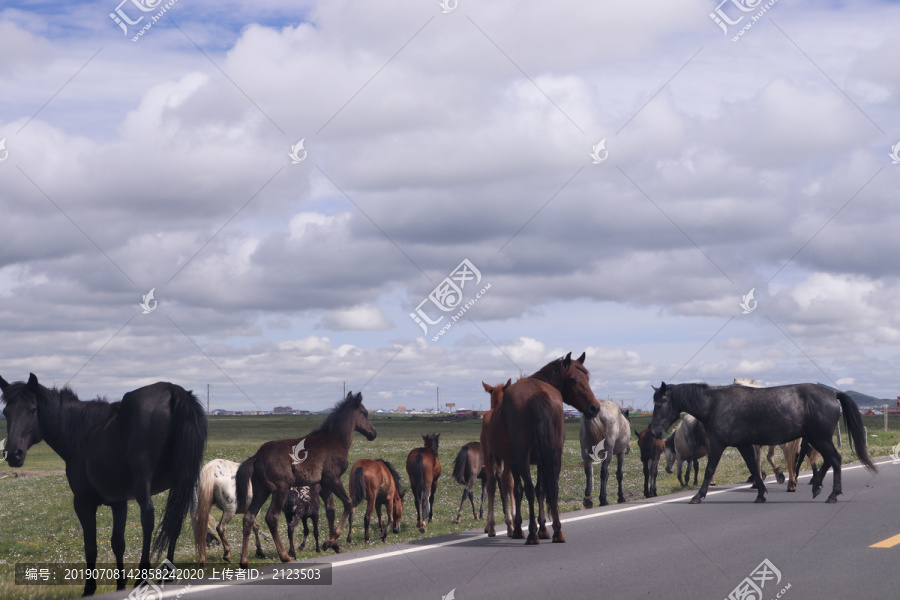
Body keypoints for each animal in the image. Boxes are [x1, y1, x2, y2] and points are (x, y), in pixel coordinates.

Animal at [1, 374, 206, 596]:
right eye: (6, 412)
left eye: (32, 410)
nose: (13, 454)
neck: (82, 434)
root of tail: (172, 390)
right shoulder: (119, 502)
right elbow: (118, 543)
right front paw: (120, 585)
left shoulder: (83, 503)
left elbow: (91, 546)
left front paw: (89, 588)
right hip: (183, 481)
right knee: (175, 519)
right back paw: (167, 574)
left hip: (144, 483)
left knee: (148, 518)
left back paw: (142, 577)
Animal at [235, 391, 376, 567]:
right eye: (365, 413)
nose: (373, 433)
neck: (336, 439)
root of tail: (256, 457)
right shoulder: (333, 478)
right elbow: (348, 503)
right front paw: (329, 542)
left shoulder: (323, 484)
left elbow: (330, 510)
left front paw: (333, 544)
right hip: (280, 488)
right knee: (271, 517)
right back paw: (285, 556)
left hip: (261, 490)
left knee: (249, 517)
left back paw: (244, 561)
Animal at [494, 352, 601, 544]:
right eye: (573, 380)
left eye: (587, 378)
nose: (594, 407)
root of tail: (538, 396)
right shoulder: (543, 458)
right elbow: (542, 489)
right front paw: (544, 528)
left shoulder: (515, 461)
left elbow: (520, 491)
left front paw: (521, 529)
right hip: (554, 453)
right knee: (552, 488)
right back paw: (557, 531)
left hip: (523, 457)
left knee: (528, 490)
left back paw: (531, 534)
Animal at [650, 381, 877, 504]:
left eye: (660, 403)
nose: (655, 431)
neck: (715, 405)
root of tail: (832, 393)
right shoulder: (743, 445)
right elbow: (753, 467)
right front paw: (760, 494)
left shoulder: (718, 445)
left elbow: (709, 470)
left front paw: (698, 495)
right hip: (816, 438)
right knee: (830, 459)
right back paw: (818, 487)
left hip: (819, 438)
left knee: (835, 459)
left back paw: (832, 494)